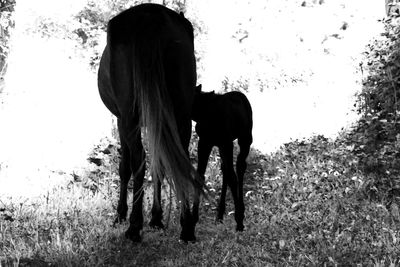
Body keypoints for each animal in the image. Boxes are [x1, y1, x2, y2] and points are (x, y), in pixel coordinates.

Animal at [97, 3, 203, 243]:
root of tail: (151, 17)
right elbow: (160, 166)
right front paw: (156, 217)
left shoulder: (122, 121)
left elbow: (125, 167)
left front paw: (120, 215)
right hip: (181, 114)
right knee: (179, 158)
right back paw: (186, 227)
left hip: (130, 118)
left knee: (138, 161)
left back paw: (134, 227)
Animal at [191, 85, 253, 232]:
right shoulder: (205, 142)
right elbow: (200, 176)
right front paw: (192, 219)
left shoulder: (226, 143)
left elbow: (233, 177)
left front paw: (239, 220)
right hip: (221, 145)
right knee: (226, 169)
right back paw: (220, 214)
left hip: (245, 138)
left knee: (239, 167)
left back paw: (240, 210)